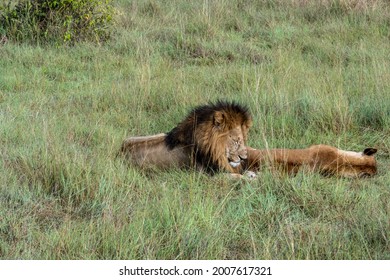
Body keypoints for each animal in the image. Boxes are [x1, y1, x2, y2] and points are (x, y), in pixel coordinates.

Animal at [119, 100, 253, 175]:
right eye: (236, 140)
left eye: (243, 140)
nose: (244, 158)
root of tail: (120, 153)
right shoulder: (206, 175)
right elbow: (238, 177)